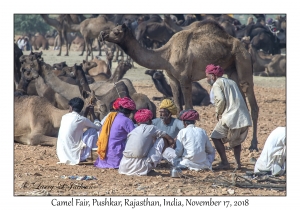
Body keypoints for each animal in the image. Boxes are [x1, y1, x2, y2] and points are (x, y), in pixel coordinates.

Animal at [101, 21, 260, 151]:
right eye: (112, 29)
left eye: (117, 32)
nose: (103, 34)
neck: (166, 55)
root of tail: (244, 47)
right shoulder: (172, 78)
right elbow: (178, 108)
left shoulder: (185, 79)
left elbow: (188, 109)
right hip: (231, 69)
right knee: (242, 101)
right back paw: (236, 142)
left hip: (243, 61)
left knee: (251, 101)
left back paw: (252, 145)